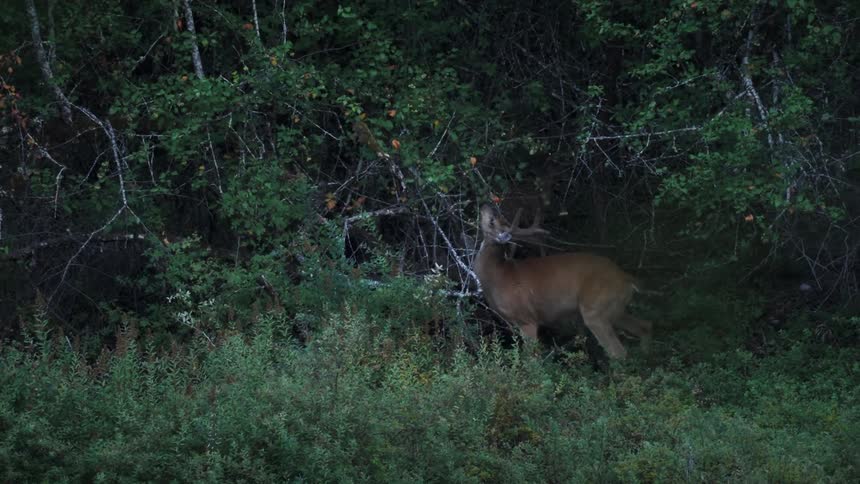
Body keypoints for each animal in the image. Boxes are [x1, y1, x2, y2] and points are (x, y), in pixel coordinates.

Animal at [473, 204, 652, 359]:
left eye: (492, 221)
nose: (485, 205)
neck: (498, 277)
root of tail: (627, 279)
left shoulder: (527, 319)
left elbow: (531, 358)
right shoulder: (513, 323)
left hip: (596, 309)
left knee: (618, 351)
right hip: (615, 309)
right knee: (644, 326)